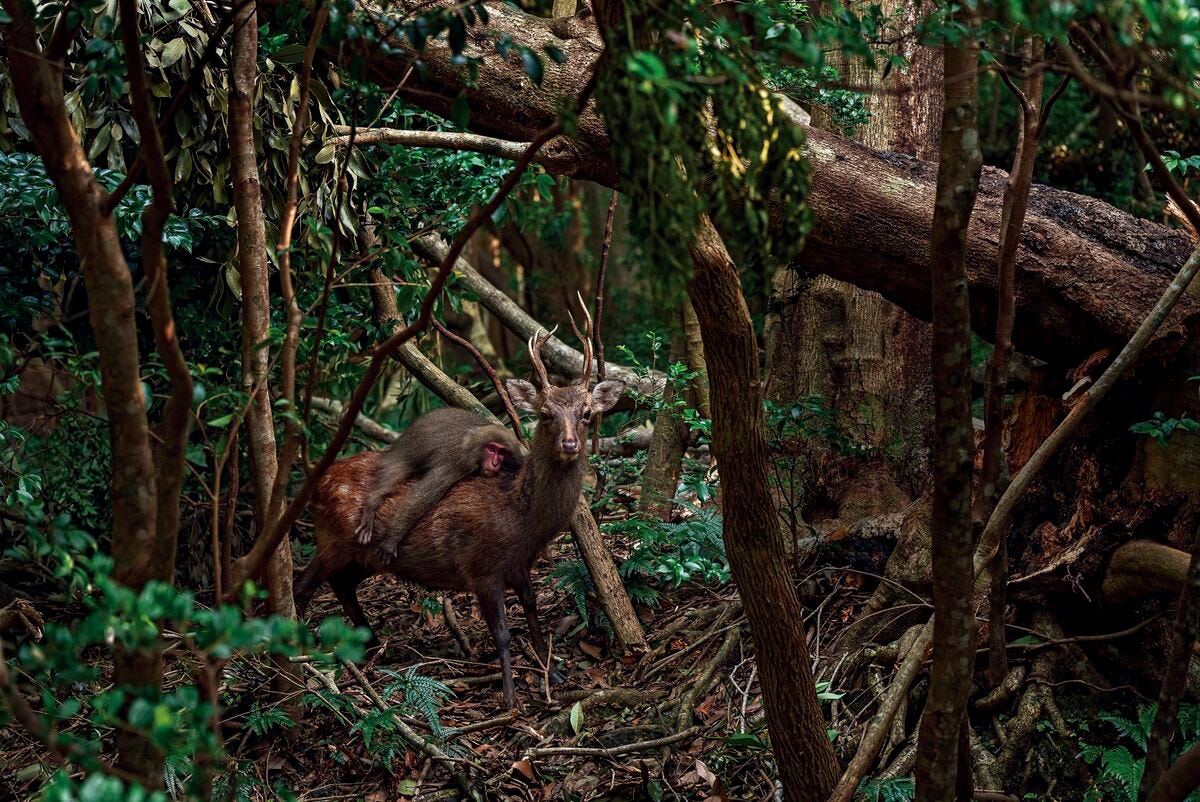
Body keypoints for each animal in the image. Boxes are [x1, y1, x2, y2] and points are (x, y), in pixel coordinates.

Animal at [355, 408, 525, 557]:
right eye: (491, 449)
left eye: (501, 452)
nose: (495, 463)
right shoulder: (458, 461)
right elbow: (419, 499)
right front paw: (391, 539)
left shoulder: (517, 459)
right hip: (407, 448)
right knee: (395, 469)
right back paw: (372, 502)